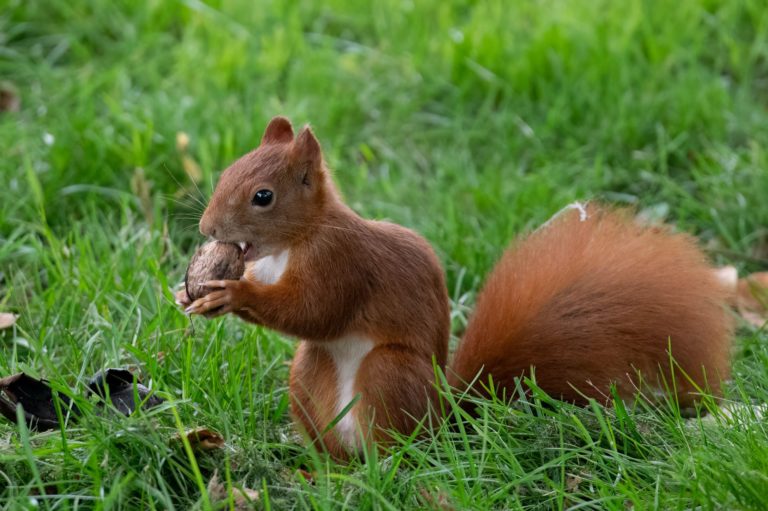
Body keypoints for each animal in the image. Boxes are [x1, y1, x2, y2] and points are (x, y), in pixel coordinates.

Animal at [178, 118, 732, 462]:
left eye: (263, 196)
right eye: (227, 171)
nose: (207, 228)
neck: (295, 242)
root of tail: (446, 418)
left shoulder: (342, 264)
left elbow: (313, 311)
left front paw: (234, 296)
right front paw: (189, 294)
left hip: (390, 373)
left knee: (396, 445)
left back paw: (385, 471)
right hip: (309, 374)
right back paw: (326, 474)